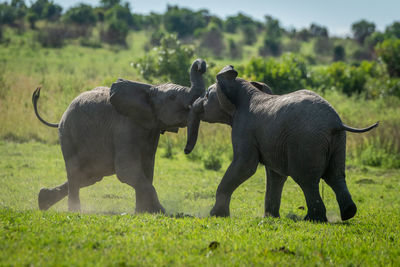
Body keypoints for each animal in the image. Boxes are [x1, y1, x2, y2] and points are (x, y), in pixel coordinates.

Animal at [33, 58, 208, 214]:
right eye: (172, 98)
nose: (202, 66)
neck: (150, 89)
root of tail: (60, 119)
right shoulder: (125, 127)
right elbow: (127, 170)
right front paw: (163, 212)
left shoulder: (151, 129)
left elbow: (147, 168)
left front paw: (143, 212)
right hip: (68, 135)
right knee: (76, 172)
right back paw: (73, 211)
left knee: (90, 175)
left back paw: (43, 200)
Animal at [184, 65, 378, 224]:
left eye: (207, 96)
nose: (186, 151)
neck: (246, 90)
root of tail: (336, 122)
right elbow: (275, 175)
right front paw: (270, 218)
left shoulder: (244, 128)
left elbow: (245, 166)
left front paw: (216, 215)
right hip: (338, 141)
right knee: (335, 176)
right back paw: (348, 213)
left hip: (306, 141)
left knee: (307, 179)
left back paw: (312, 219)